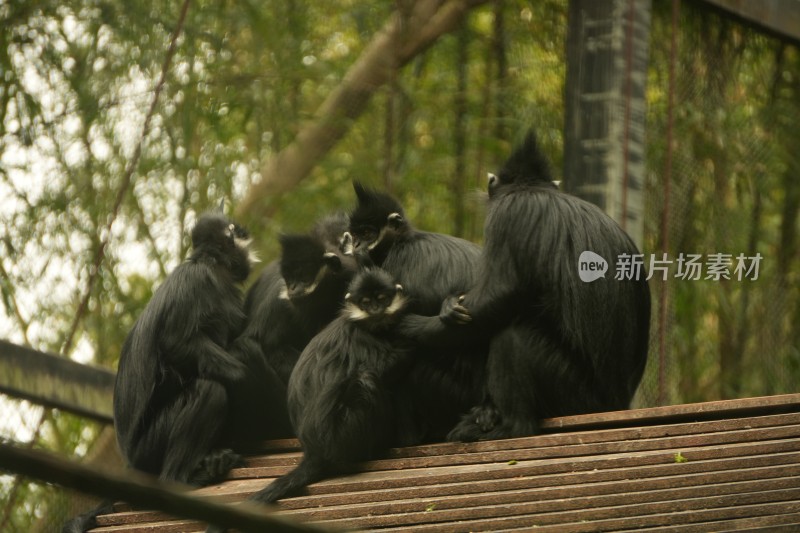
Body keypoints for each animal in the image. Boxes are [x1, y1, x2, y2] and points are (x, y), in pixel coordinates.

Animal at [206, 268, 412, 528]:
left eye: (382, 299)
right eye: (366, 302)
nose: (376, 309)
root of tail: (314, 451)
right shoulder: (364, 339)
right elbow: (392, 363)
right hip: (344, 435)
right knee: (366, 378)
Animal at [400, 131, 648, 438]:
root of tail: (616, 403)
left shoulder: (509, 214)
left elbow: (497, 298)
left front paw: (407, 325)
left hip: (574, 395)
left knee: (513, 334)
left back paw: (511, 426)